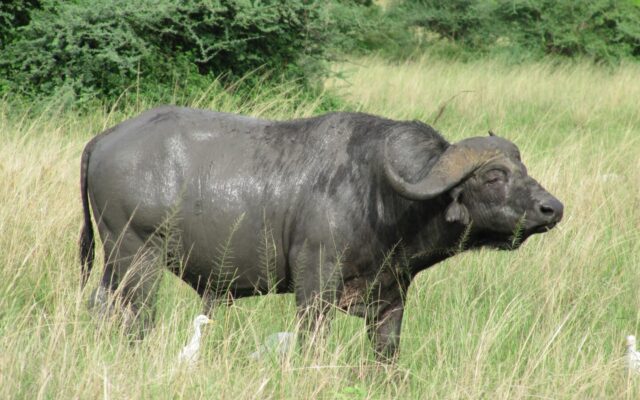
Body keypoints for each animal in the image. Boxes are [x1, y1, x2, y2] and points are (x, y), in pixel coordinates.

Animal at [79, 107, 563, 360]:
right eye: (495, 176)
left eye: (522, 168)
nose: (552, 208)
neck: (381, 196)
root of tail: (106, 138)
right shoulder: (315, 284)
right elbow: (313, 342)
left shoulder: (392, 297)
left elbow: (386, 353)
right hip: (136, 258)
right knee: (135, 319)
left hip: (112, 265)